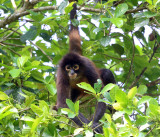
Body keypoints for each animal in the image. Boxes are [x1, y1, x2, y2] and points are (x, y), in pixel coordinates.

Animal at [54, 0, 115, 133]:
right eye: (68, 68)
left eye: (76, 67)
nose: (72, 72)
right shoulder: (61, 74)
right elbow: (64, 105)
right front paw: (89, 125)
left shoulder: (87, 67)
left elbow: (100, 95)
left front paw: (93, 124)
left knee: (106, 73)